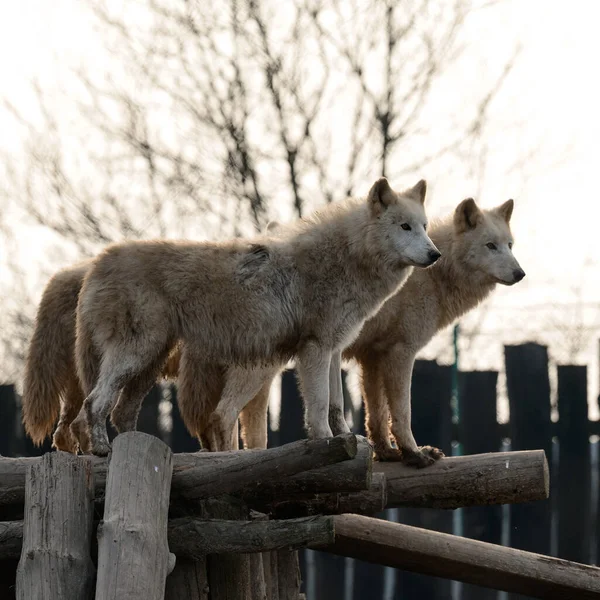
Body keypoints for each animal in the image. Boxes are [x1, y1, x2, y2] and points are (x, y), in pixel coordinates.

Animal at [74, 178, 440, 454]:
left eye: (424, 227)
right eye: (404, 227)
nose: (435, 254)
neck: (346, 258)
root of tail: (99, 261)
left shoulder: (334, 349)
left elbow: (337, 405)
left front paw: (346, 438)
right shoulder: (315, 349)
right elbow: (320, 404)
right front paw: (324, 442)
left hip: (148, 363)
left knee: (118, 412)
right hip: (136, 356)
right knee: (94, 403)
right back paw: (103, 450)